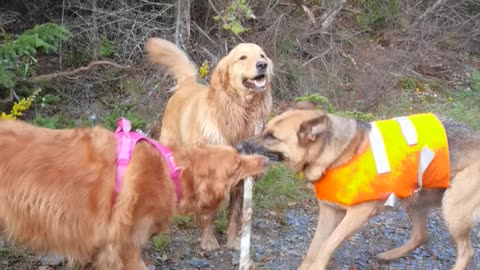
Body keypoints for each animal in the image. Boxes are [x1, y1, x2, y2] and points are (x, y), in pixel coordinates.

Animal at [145, 37, 274, 250]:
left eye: (262, 55)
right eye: (242, 57)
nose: (262, 64)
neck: (239, 117)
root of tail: (187, 85)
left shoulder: (240, 179)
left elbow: (234, 214)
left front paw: (233, 240)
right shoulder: (204, 178)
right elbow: (208, 213)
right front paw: (209, 240)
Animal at [235, 102, 480, 270]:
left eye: (272, 136)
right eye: (264, 130)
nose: (237, 147)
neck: (337, 153)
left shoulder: (358, 213)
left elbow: (326, 246)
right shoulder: (329, 211)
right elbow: (314, 247)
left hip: (453, 209)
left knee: (466, 252)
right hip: (415, 200)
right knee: (421, 235)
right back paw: (391, 255)